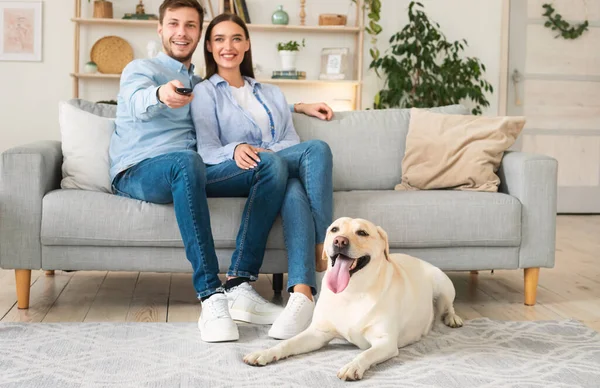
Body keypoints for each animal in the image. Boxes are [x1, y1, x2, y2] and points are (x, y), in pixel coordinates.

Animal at [244, 217, 464, 380]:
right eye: (334, 229)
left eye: (362, 233)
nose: (339, 241)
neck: (352, 291)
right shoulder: (317, 333)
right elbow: (287, 343)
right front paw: (264, 353)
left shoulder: (385, 342)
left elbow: (366, 353)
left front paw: (352, 366)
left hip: (442, 284)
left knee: (449, 306)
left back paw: (452, 318)